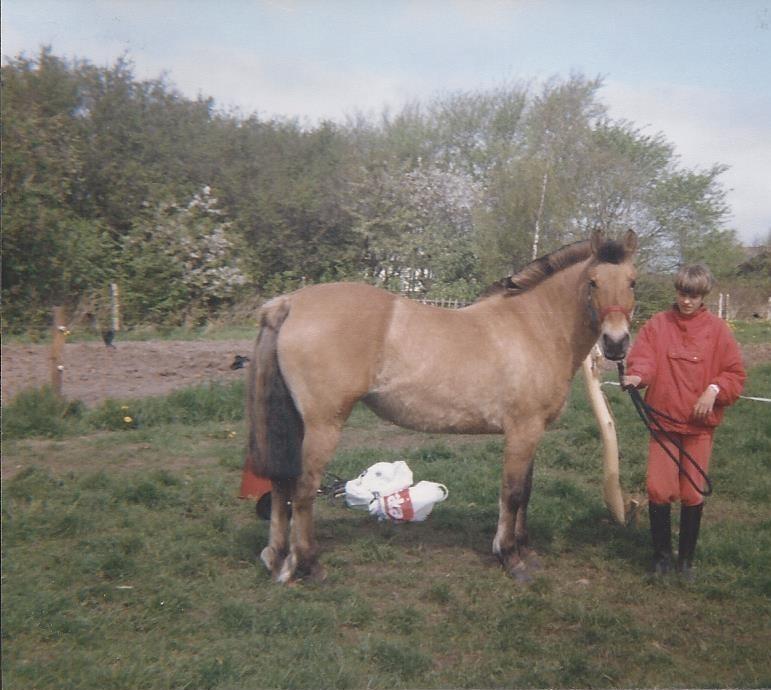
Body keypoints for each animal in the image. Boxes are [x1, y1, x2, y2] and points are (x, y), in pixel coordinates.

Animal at [247, 228, 640, 576]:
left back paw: (276, 558)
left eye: (633, 281)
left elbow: (526, 492)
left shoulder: (532, 433)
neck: (533, 327)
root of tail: (289, 302)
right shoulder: (522, 431)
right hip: (323, 425)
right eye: (593, 281)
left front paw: (525, 550)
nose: (616, 343)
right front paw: (510, 556)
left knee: (281, 485)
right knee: (302, 489)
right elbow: (512, 494)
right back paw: (307, 565)